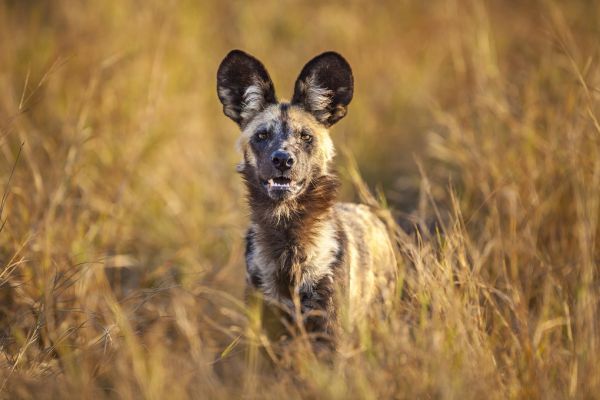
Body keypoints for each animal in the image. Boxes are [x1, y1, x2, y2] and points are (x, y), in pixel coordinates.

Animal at [218, 50, 396, 348]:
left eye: (305, 136)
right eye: (262, 135)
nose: (282, 159)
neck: (287, 239)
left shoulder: (329, 331)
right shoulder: (268, 330)